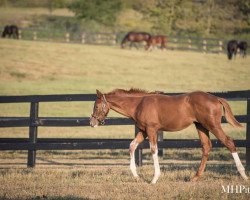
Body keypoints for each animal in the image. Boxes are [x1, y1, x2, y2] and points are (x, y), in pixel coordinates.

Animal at [89, 88, 247, 184]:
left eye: (96, 106)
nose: (92, 123)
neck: (139, 104)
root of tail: (216, 98)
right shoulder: (143, 131)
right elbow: (132, 146)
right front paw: (137, 176)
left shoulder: (151, 130)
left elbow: (153, 150)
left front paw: (154, 179)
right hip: (201, 126)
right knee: (206, 146)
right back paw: (195, 177)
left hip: (212, 125)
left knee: (229, 142)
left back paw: (244, 175)